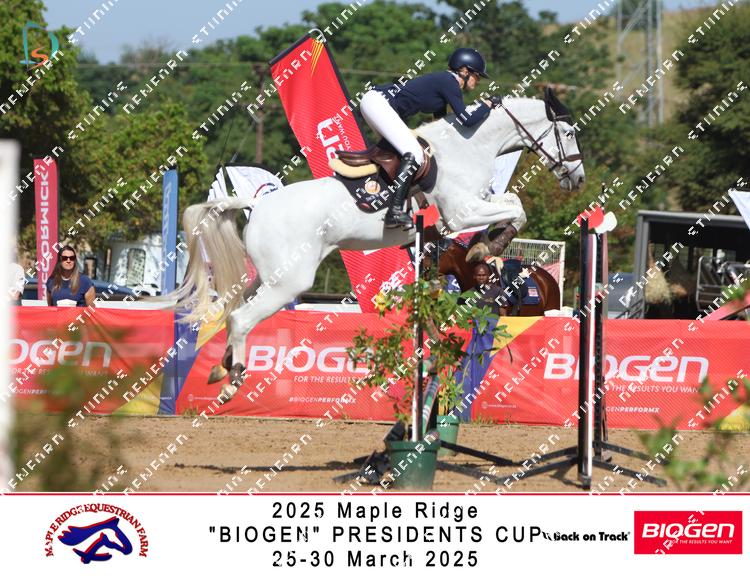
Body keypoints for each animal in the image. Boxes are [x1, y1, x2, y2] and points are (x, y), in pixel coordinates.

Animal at [167, 91, 585, 396]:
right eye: (568, 134)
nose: (577, 179)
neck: (469, 147)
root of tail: (257, 204)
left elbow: (512, 207)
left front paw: (487, 248)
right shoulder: (461, 213)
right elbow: (516, 210)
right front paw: (488, 249)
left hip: (265, 277)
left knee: (235, 308)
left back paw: (219, 368)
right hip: (290, 281)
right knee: (241, 318)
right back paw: (233, 380)